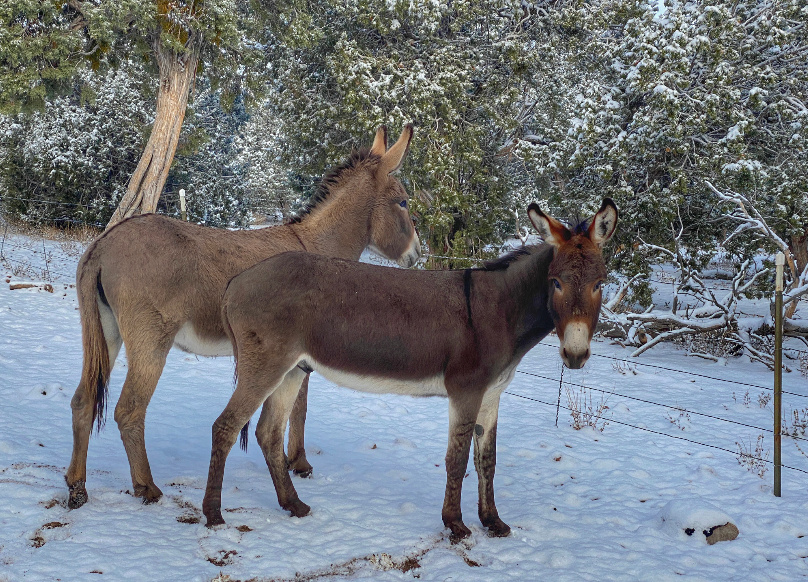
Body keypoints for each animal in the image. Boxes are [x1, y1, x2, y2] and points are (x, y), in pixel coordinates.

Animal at [66, 126, 421, 509]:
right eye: (403, 202)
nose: (417, 255)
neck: (317, 246)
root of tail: (103, 245)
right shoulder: (300, 352)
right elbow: (300, 408)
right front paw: (300, 463)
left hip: (106, 332)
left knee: (83, 400)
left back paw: (77, 487)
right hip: (150, 341)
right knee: (129, 410)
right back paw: (147, 487)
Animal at [202, 198, 617, 541]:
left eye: (600, 284)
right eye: (556, 282)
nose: (575, 355)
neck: (502, 313)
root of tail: (236, 281)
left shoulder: (491, 395)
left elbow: (487, 460)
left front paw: (493, 522)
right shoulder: (465, 391)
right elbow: (457, 460)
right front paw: (455, 524)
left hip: (292, 370)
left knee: (268, 433)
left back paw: (294, 505)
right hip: (266, 366)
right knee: (224, 426)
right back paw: (213, 515)